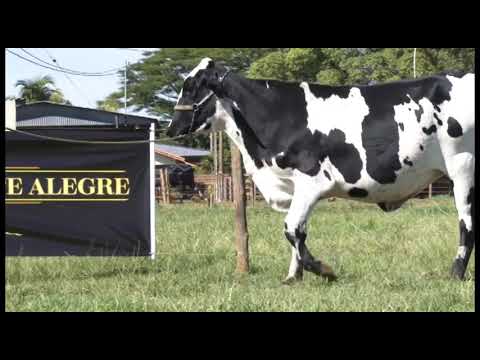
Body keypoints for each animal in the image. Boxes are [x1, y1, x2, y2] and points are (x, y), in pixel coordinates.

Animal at [167, 57, 474, 282]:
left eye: (192, 86)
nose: (171, 127)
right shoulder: (294, 187)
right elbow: (300, 230)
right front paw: (293, 277)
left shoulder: (312, 180)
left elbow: (291, 228)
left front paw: (323, 270)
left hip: (462, 168)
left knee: (466, 224)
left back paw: (456, 273)